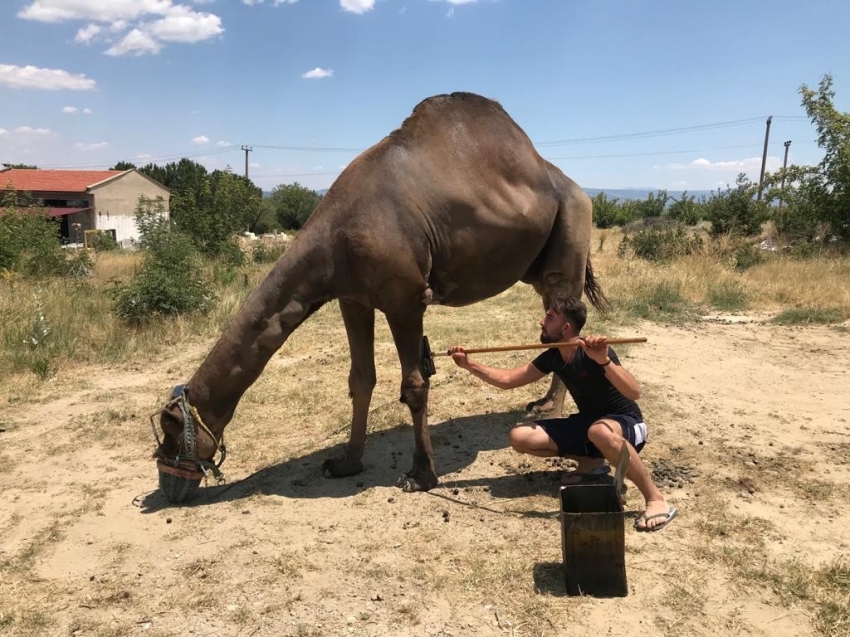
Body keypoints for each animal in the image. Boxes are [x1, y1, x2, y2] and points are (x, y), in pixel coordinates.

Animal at [152, 93, 604, 502]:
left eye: (172, 432)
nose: (168, 487)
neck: (337, 235)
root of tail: (577, 189)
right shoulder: (353, 298)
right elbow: (360, 379)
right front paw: (346, 463)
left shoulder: (406, 298)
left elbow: (415, 384)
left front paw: (421, 476)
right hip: (538, 265)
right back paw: (545, 403)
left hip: (570, 229)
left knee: (566, 312)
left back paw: (549, 410)